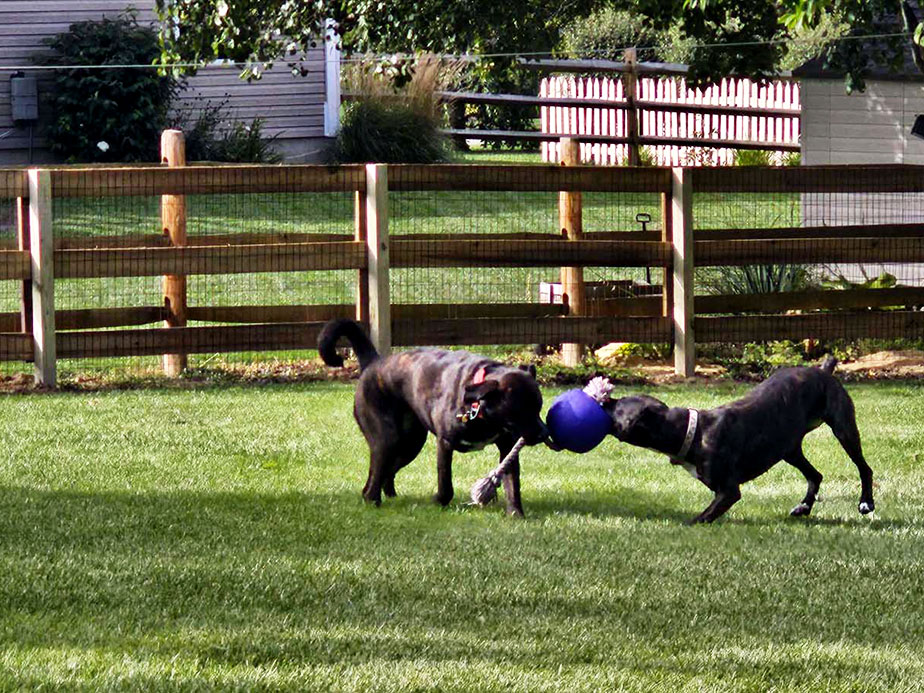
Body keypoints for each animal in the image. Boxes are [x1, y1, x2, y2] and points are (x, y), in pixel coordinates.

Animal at [318, 318, 548, 512]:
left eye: (538, 407)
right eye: (521, 410)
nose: (545, 433)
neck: (477, 407)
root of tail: (373, 362)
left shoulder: (508, 447)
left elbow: (512, 484)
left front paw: (516, 514)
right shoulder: (445, 443)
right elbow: (445, 482)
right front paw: (439, 502)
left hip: (410, 444)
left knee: (387, 472)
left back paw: (390, 495)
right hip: (387, 440)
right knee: (373, 479)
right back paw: (373, 502)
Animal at [604, 354, 876, 520]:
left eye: (619, 405)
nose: (606, 398)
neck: (692, 431)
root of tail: (823, 370)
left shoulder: (728, 492)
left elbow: (701, 518)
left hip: (843, 430)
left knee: (864, 468)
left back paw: (866, 503)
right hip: (789, 450)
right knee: (815, 475)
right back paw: (804, 506)